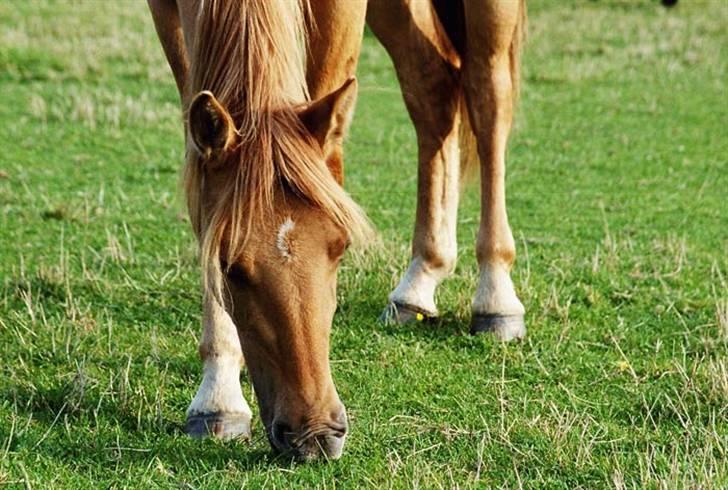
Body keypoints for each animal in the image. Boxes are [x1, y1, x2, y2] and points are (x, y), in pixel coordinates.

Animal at [146, 0, 524, 460]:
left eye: (341, 247)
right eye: (228, 265)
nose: (315, 434)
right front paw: (218, 394)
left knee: (489, 95)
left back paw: (496, 297)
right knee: (431, 84)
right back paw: (420, 278)